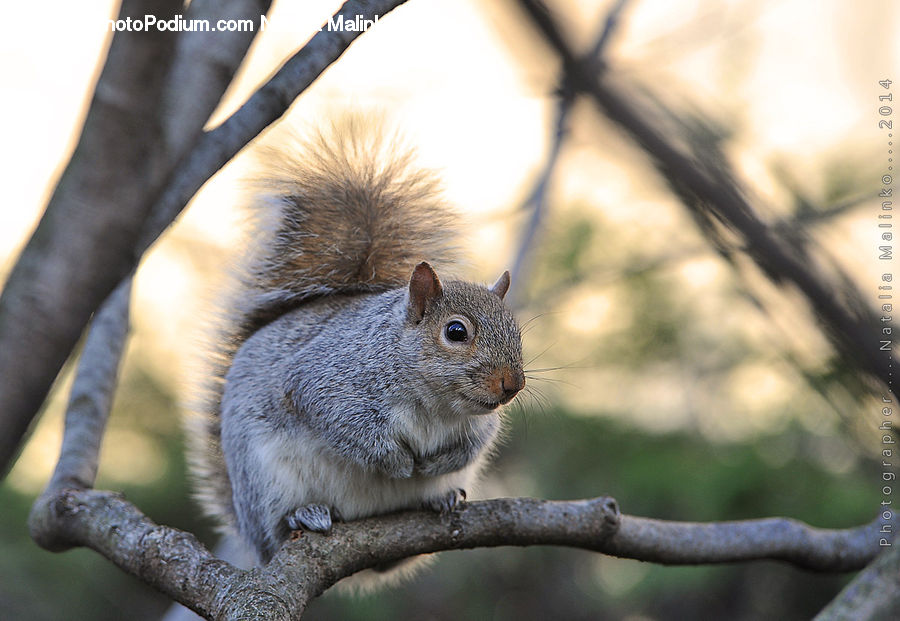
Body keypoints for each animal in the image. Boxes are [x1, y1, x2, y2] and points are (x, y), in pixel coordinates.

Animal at [186, 118, 525, 582]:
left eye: (518, 331)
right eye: (456, 332)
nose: (513, 384)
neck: (435, 403)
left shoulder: (478, 424)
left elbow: (473, 445)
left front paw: (435, 467)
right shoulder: (326, 380)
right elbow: (347, 427)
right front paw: (397, 463)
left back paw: (439, 498)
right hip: (266, 482)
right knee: (277, 526)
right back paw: (303, 515)